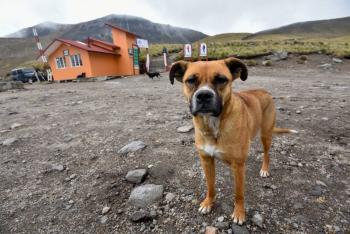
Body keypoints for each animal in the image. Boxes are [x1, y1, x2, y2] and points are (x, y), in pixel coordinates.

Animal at [169, 57, 296, 224]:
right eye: (191, 80)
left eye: (221, 79)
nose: (203, 95)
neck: (214, 125)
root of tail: (264, 91)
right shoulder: (206, 160)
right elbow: (210, 186)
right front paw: (208, 203)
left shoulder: (238, 166)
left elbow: (239, 193)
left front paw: (239, 213)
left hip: (266, 134)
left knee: (267, 153)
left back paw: (264, 169)